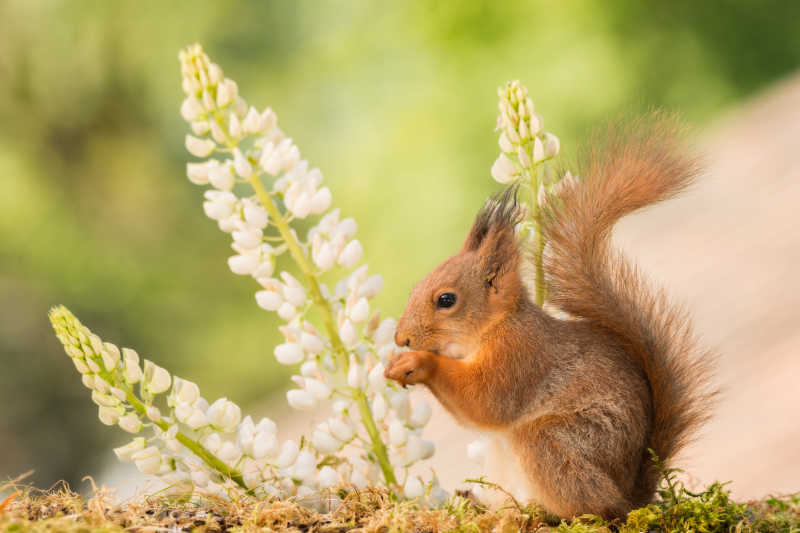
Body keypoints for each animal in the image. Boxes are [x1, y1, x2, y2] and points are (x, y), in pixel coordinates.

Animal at [384, 115, 716, 516]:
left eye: (446, 299)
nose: (401, 338)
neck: (490, 330)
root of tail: (631, 494)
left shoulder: (521, 358)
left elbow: (486, 401)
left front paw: (419, 363)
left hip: (550, 442)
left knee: (593, 505)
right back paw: (486, 503)